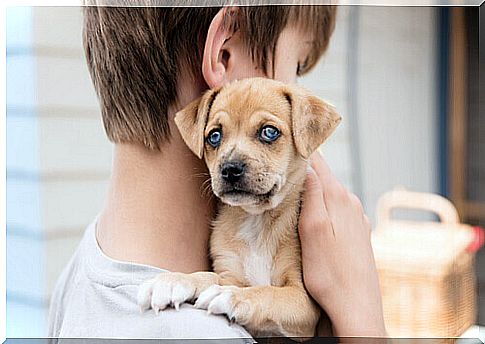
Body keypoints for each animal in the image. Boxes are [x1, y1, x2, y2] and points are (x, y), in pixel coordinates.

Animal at [136, 76, 340, 338]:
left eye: (269, 132)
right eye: (214, 136)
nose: (230, 169)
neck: (256, 220)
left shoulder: (303, 301)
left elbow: (268, 293)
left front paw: (233, 296)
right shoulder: (230, 272)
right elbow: (208, 276)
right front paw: (175, 281)